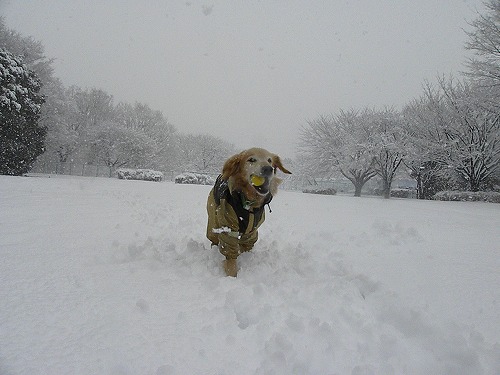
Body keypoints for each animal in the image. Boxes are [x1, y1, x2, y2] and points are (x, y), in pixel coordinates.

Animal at [206, 148, 292, 278]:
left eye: (269, 160)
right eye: (251, 159)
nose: (268, 169)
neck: (249, 205)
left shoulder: (252, 231)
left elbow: (246, 246)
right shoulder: (229, 228)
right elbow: (230, 255)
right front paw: (231, 278)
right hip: (213, 221)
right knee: (214, 238)